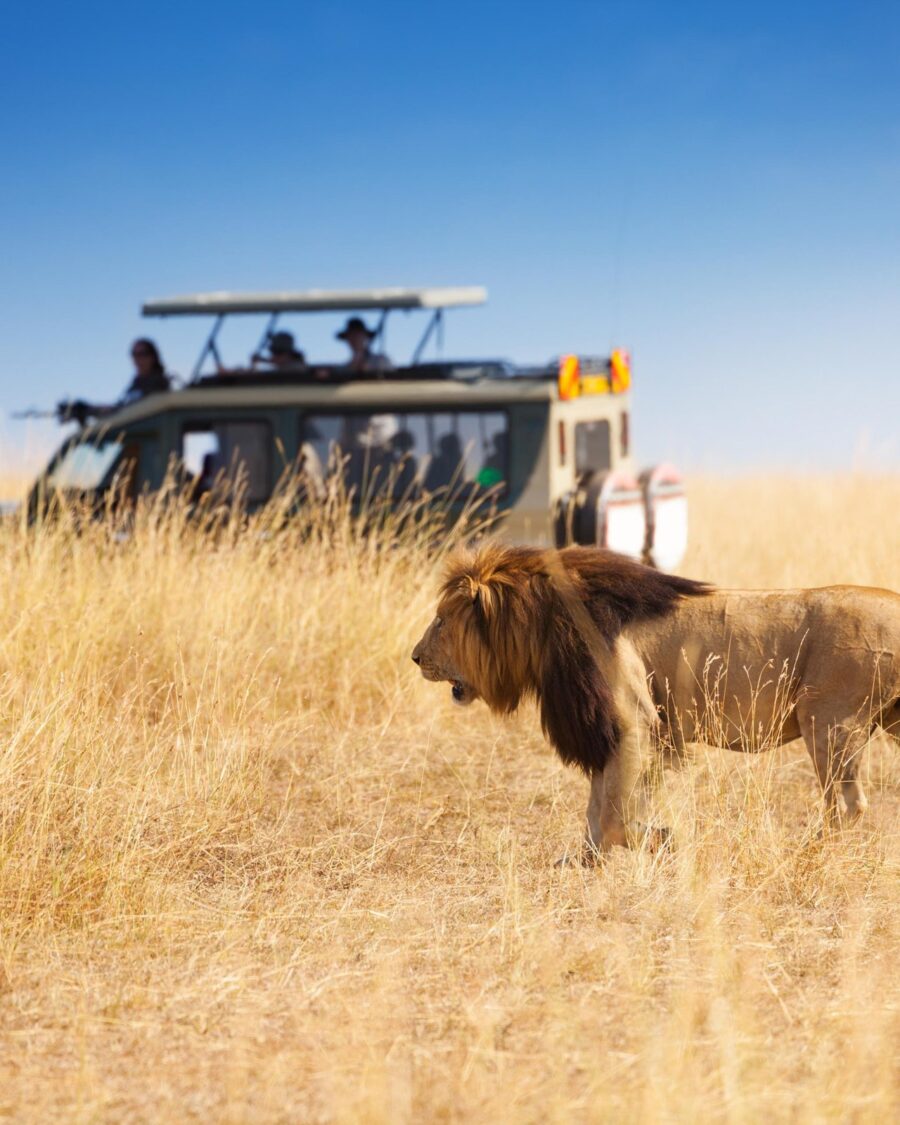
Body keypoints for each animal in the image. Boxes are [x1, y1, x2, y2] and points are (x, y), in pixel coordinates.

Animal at [412, 545, 900, 859]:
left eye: (440, 620)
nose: (416, 657)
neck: (544, 625)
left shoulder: (635, 722)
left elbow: (614, 814)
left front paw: (662, 839)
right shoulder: (607, 730)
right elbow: (598, 806)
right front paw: (585, 860)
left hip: (829, 722)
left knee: (848, 804)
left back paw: (808, 851)